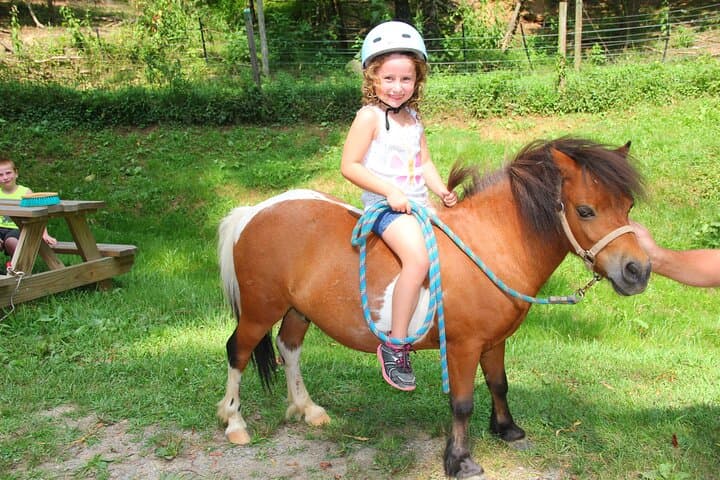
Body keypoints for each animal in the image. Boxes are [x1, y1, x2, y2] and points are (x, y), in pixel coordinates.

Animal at [216, 137, 650, 479]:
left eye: (628, 205)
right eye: (585, 210)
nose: (638, 270)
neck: (491, 243)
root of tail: (252, 213)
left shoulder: (494, 342)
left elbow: (499, 383)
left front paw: (507, 430)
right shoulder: (462, 347)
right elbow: (462, 403)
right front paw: (460, 461)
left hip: (297, 310)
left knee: (289, 348)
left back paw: (307, 409)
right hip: (259, 310)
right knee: (238, 352)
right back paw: (234, 423)